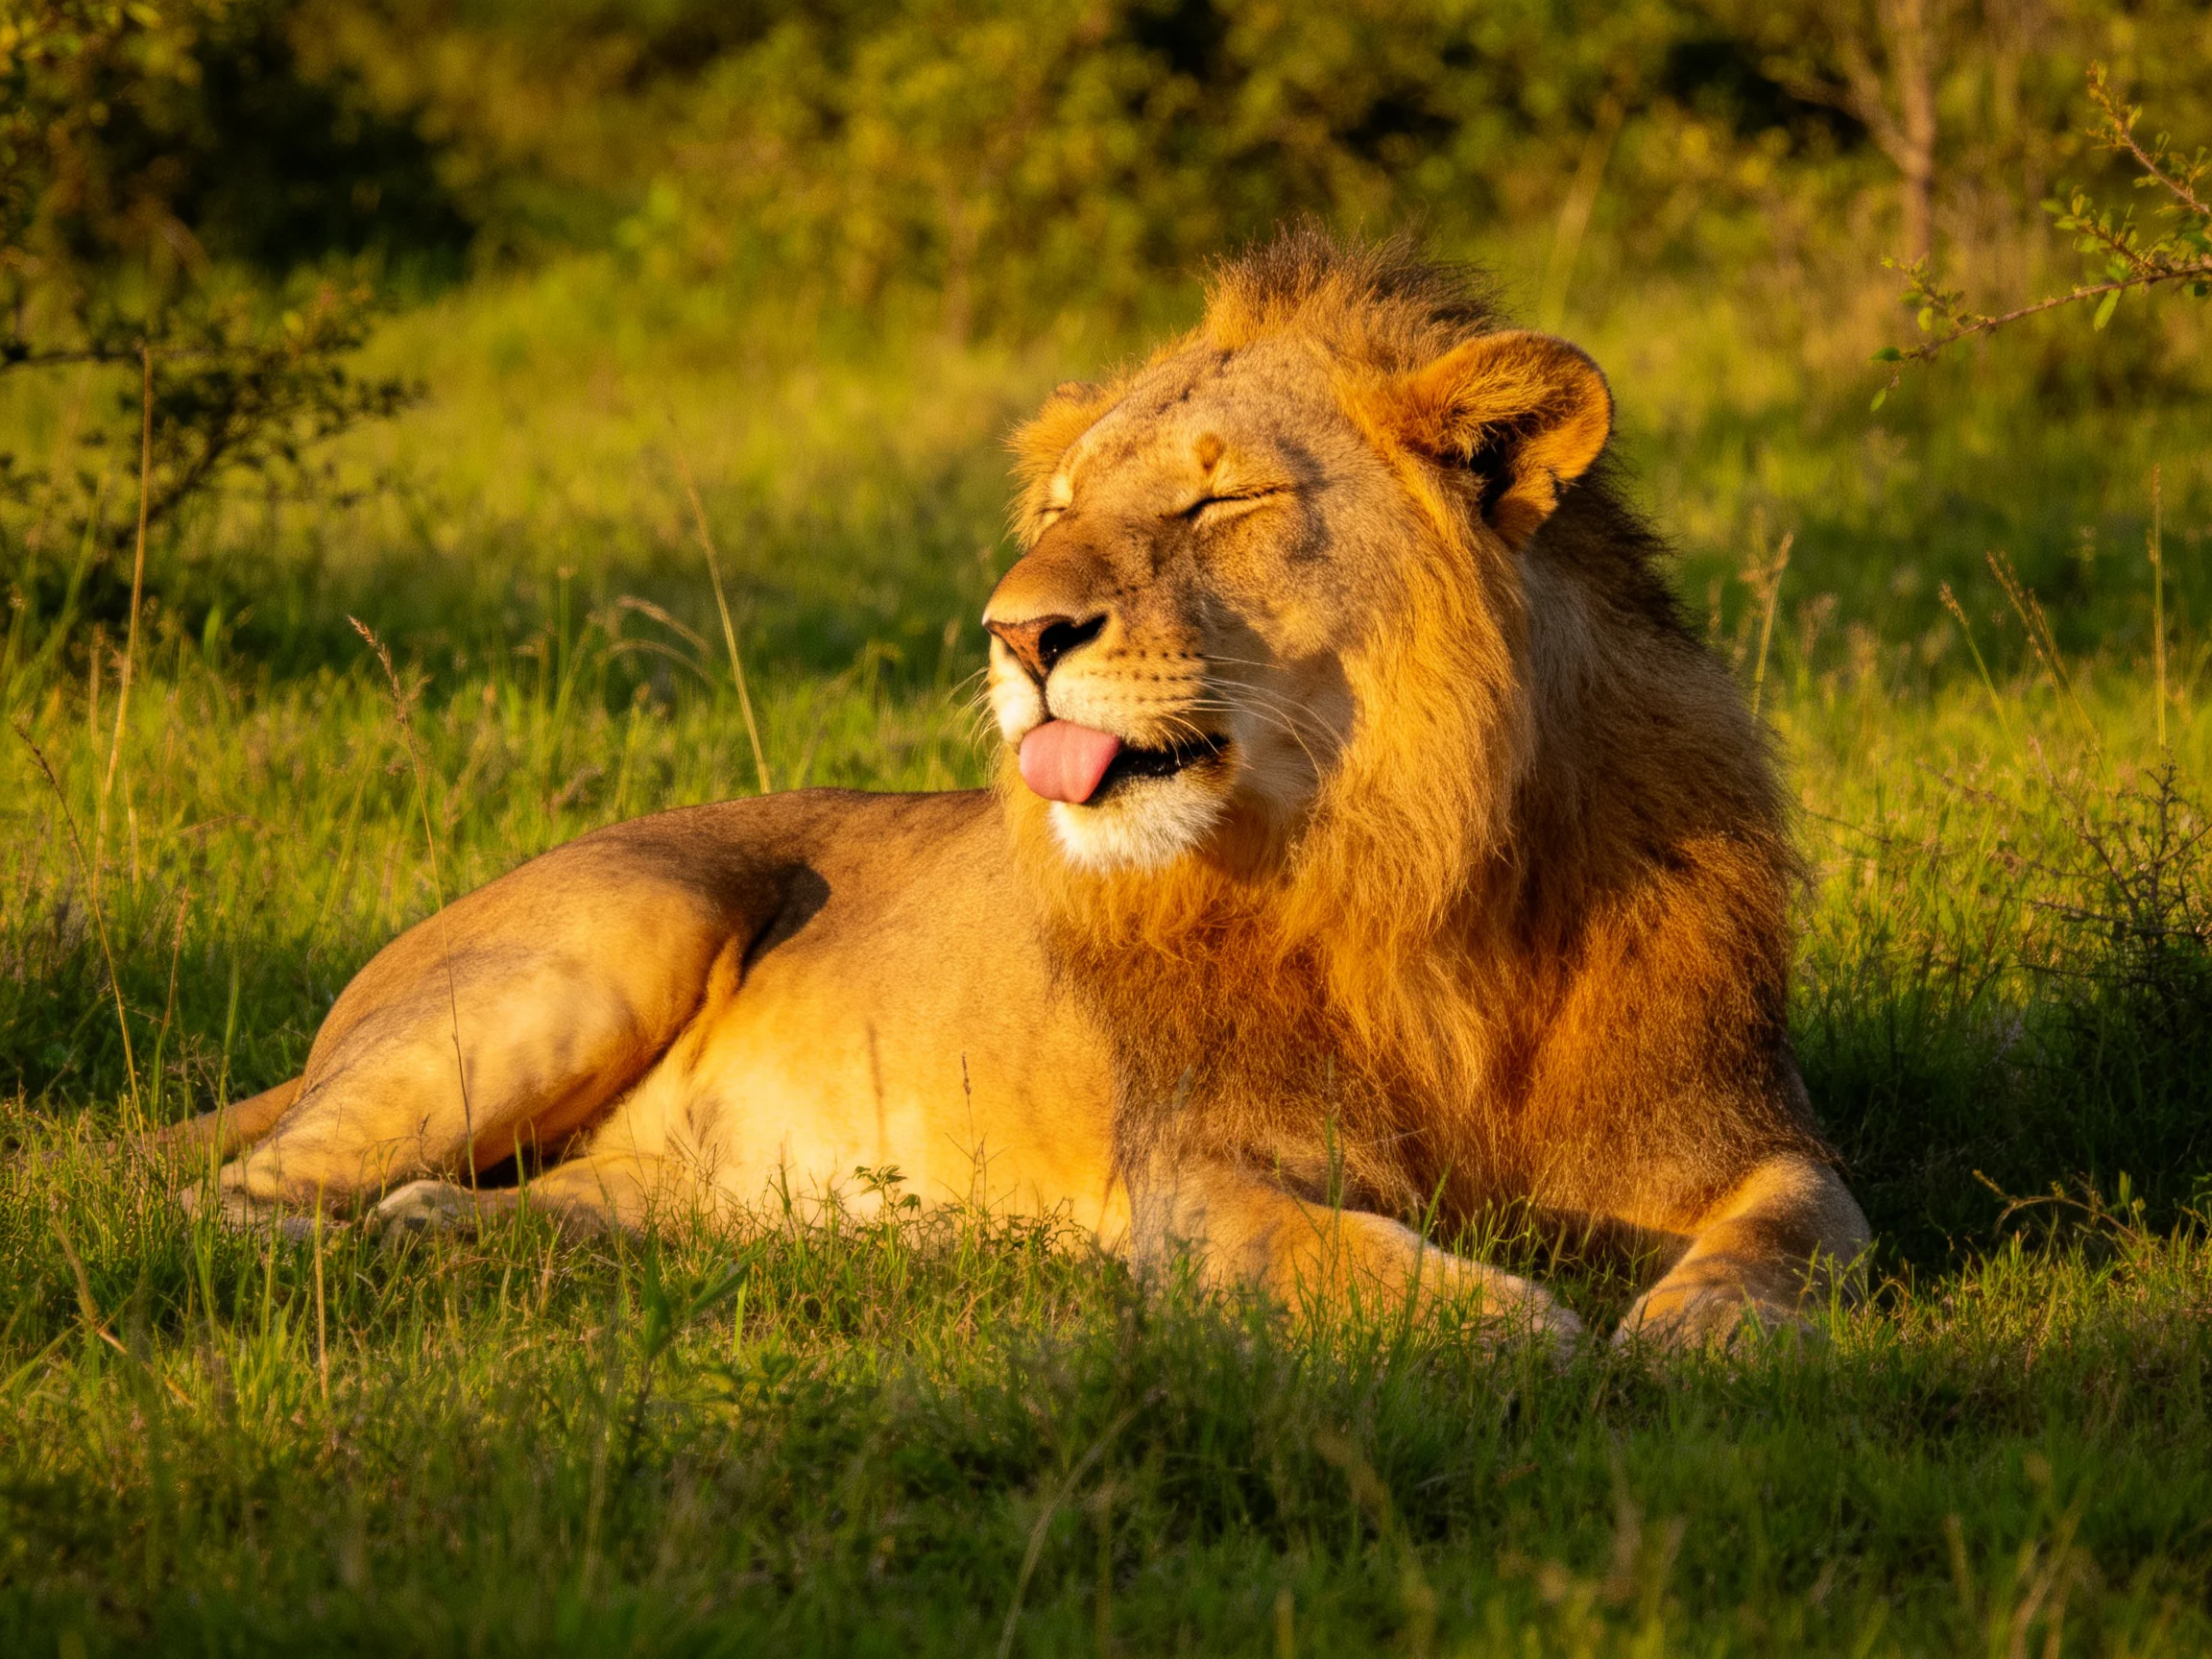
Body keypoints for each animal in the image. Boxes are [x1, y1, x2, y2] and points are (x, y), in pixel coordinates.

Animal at [171, 229, 1869, 1348]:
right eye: (1057, 511)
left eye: (1218, 499)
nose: (1014, 632)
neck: (1411, 869)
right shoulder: (1206, 1180)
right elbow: (1350, 1265)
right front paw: (1525, 1324)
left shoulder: (1744, 1131)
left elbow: (1800, 1236)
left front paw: (1699, 1332)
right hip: (609, 933)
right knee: (237, 1200)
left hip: (687, 1184)